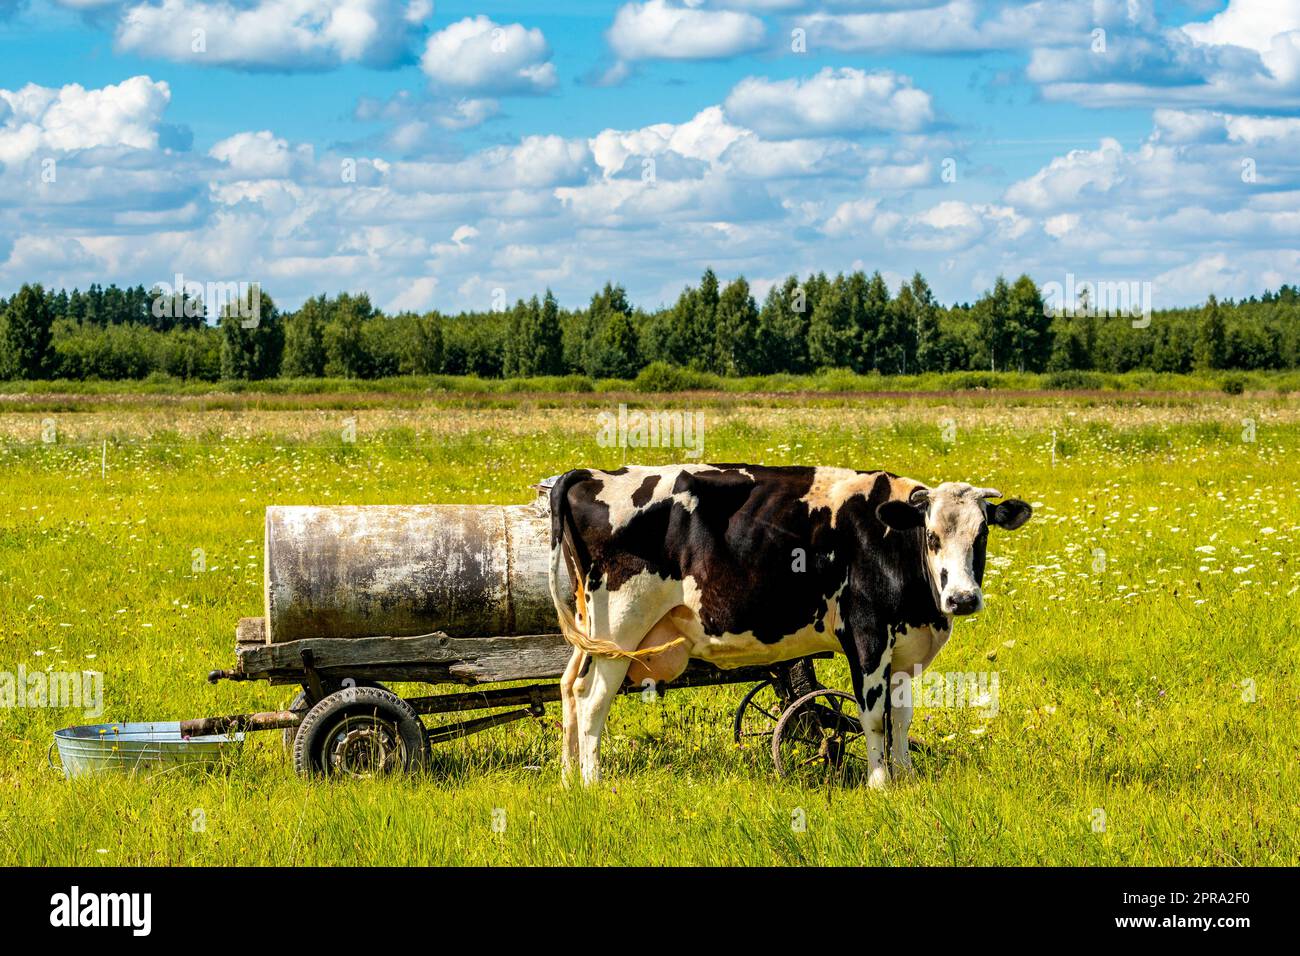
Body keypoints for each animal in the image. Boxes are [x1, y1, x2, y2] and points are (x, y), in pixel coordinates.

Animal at [543, 463, 1029, 785]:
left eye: (982, 534)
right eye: (931, 536)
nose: (962, 599)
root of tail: (592, 474)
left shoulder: (906, 651)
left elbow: (902, 718)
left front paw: (906, 777)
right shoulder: (867, 636)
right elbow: (873, 717)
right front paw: (879, 784)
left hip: (592, 634)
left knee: (568, 689)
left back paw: (568, 779)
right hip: (620, 626)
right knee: (591, 699)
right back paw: (592, 782)